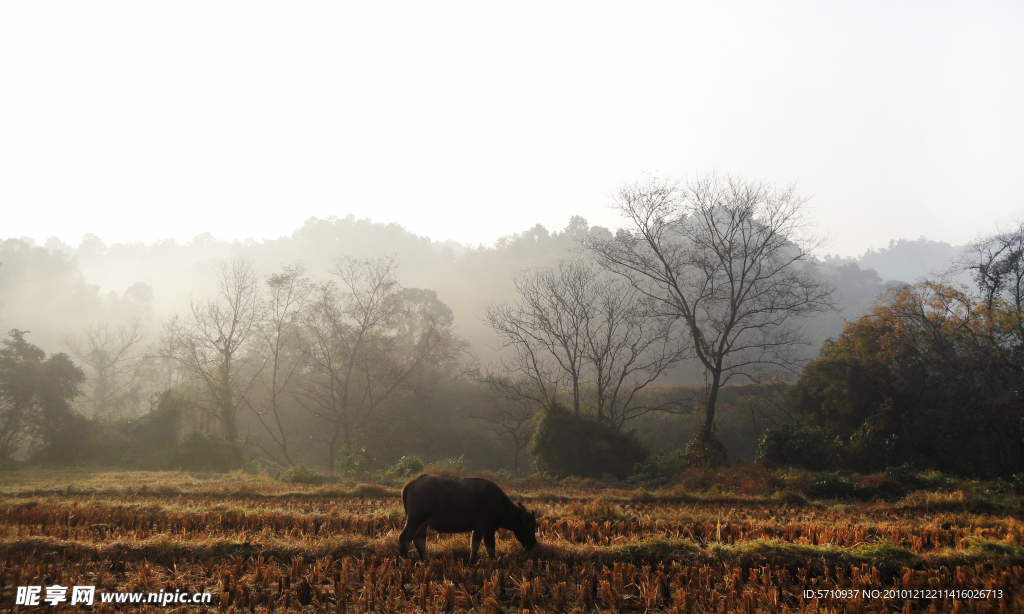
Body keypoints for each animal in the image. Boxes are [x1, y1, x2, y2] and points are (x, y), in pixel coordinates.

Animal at [399, 474, 540, 560]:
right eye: (532, 525)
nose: (535, 545)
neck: (500, 503)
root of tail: (413, 483)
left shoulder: (477, 529)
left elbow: (474, 546)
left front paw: (471, 563)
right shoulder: (488, 529)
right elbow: (490, 549)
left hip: (422, 524)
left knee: (419, 541)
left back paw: (424, 561)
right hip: (414, 520)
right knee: (404, 538)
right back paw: (402, 563)